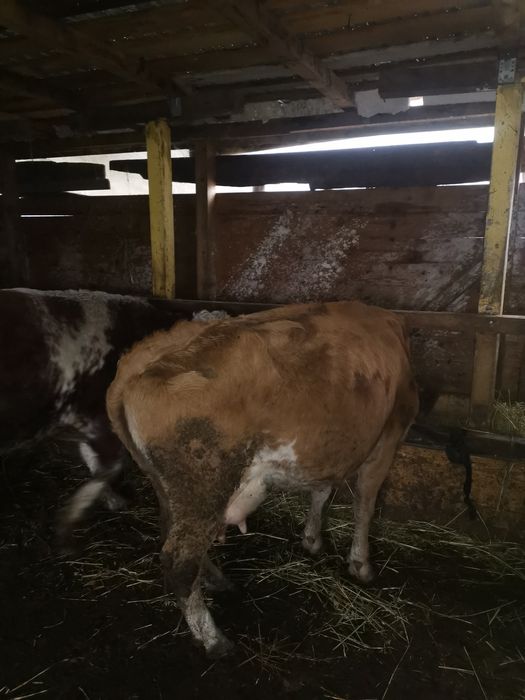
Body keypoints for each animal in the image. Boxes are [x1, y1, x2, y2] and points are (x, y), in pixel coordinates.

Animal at [107, 301, 419, 657]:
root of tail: (134, 369)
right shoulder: (390, 434)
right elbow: (364, 505)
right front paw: (361, 564)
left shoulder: (327, 447)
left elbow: (321, 491)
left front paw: (312, 539)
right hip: (205, 484)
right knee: (179, 561)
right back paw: (214, 639)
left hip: (169, 486)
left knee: (169, 530)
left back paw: (216, 580)